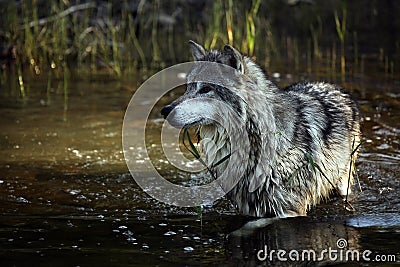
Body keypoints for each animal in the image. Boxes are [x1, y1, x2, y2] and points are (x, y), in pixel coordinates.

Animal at [161, 40, 360, 219]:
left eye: (205, 89)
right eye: (188, 88)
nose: (165, 110)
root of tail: (332, 86)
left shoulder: (289, 211)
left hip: (343, 182)